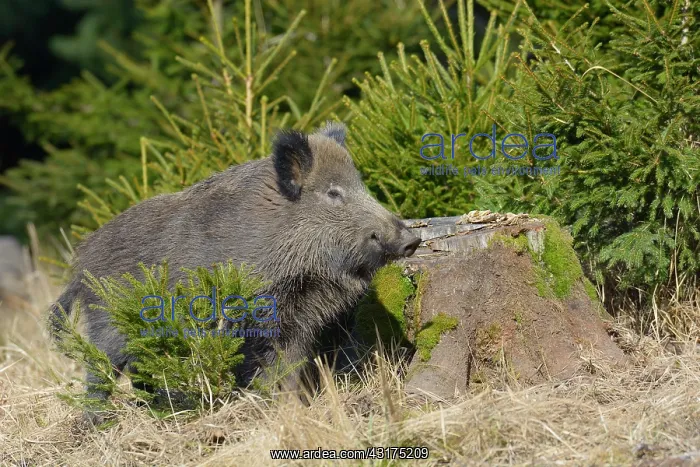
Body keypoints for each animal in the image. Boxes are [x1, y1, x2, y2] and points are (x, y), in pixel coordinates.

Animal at [49, 121, 420, 418]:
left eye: (361, 185)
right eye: (333, 192)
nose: (412, 239)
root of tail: (80, 267)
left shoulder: (301, 321)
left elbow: (291, 364)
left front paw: (294, 407)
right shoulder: (252, 313)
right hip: (108, 325)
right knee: (99, 372)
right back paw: (99, 421)